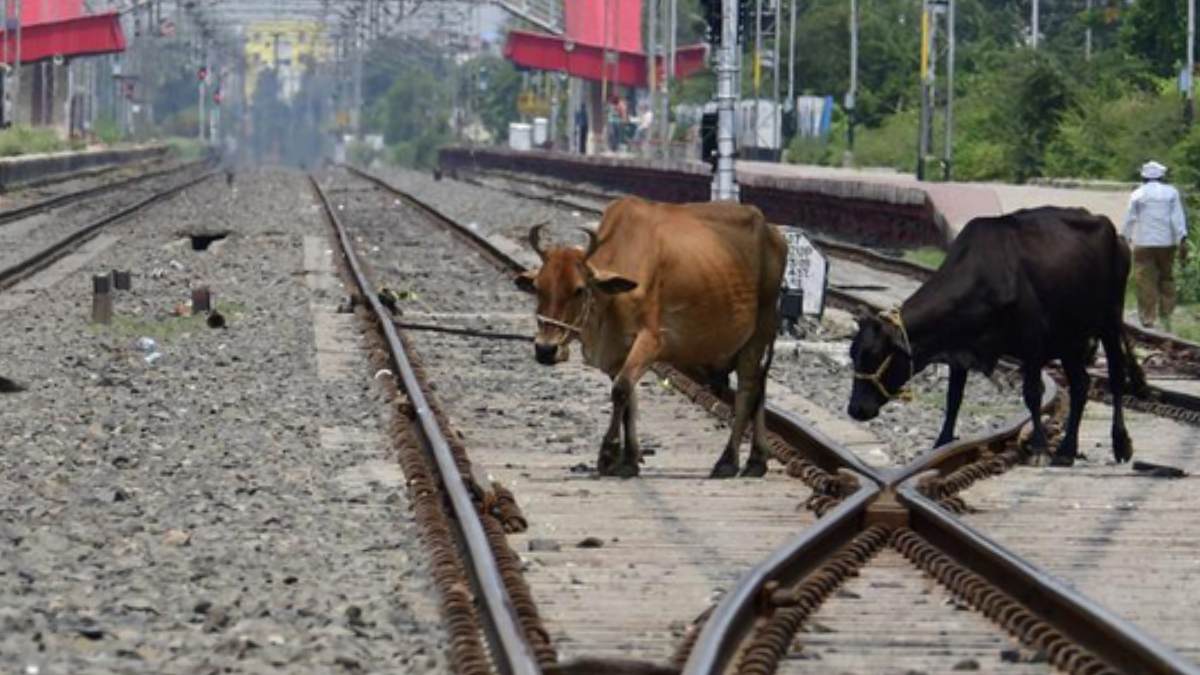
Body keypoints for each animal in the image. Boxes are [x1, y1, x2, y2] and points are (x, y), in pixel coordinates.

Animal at [515, 196, 788, 478]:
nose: (545, 349)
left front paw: (609, 454)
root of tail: (773, 233)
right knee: (760, 390)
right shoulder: (618, 353)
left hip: (758, 335)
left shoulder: (650, 341)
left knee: (747, 392)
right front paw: (629, 460)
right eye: (537, 287)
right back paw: (756, 461)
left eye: (579, 290)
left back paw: (728, 461)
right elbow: (629, 400)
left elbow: (621, 390)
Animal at [846, 206, 1146, 466]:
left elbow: (1032, 394)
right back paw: (1066, 451)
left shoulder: (1032, 344)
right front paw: (941, 444)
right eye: (853, 354)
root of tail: (1115, 233)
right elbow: (953, 399)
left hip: (1109, 321)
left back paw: (1120, 443)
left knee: (1116, 377)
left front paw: (1039, 448)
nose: (856, 409)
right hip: (1069, 338)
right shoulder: (959, 353)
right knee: (1081, 384)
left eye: (877, 355)